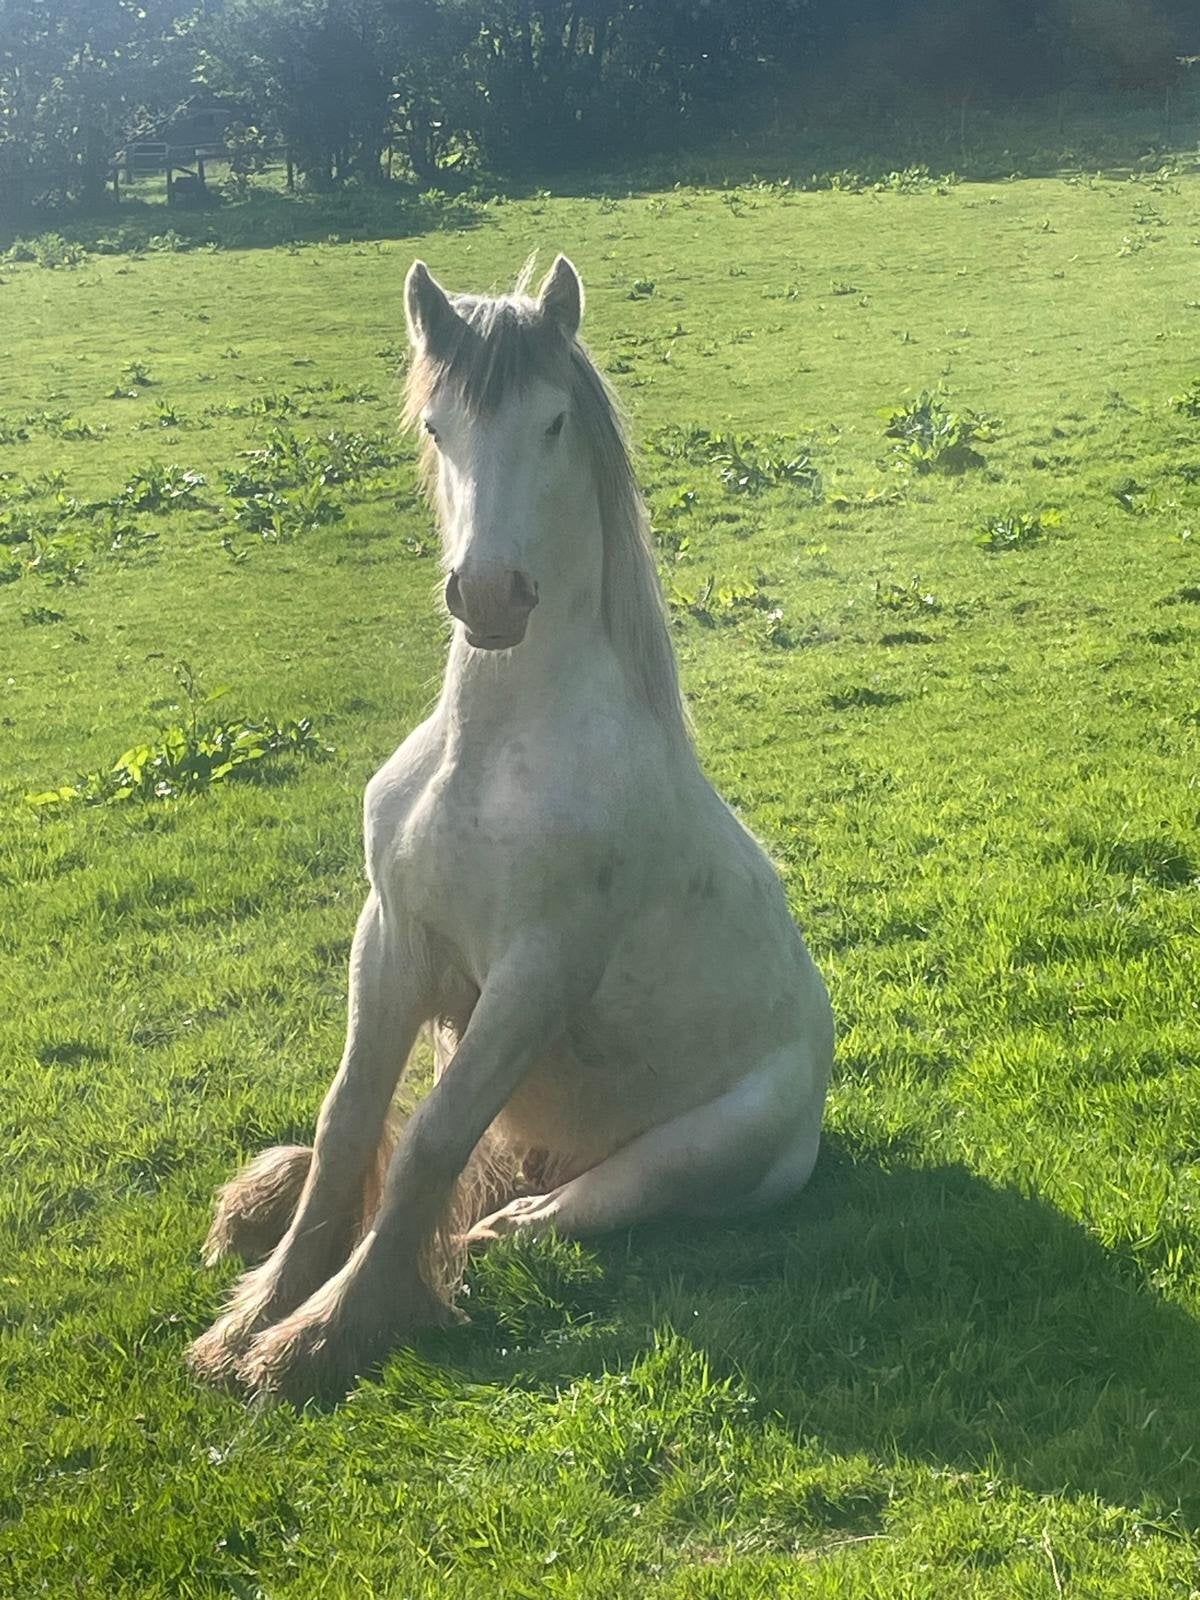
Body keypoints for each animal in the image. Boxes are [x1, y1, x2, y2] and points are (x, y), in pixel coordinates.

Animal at [188, 255, 834, 1403]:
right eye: (437, 425)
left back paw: (501, 1233)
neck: (490, 752)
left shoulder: (537, 973)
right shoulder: (391, 937)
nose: (490, 596)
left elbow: (430, 1141)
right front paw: (258, 1311)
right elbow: (352, 1124)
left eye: (553, 422)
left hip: (693, 1157)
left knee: (546, 1212)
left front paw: (318, 1339)